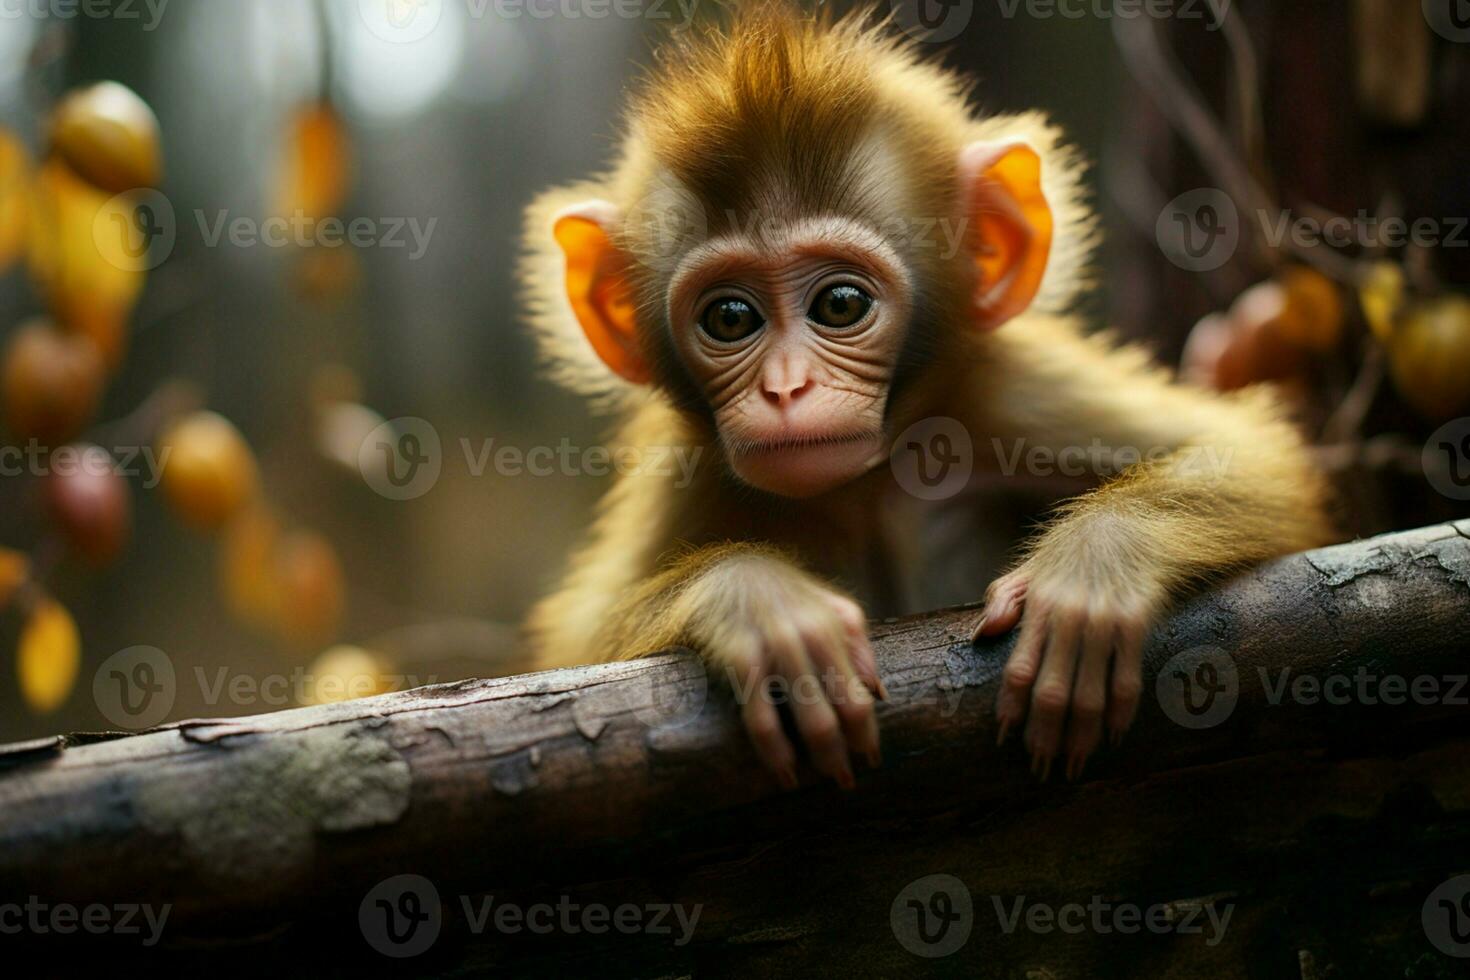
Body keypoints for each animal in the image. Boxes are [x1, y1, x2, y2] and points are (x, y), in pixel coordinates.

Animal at [517, 5, 1334, 787]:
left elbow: (1250, 457)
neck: (868, 485)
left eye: (841, 304)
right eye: (730, 319)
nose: (786, 388)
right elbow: (577, 646)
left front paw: (1093, 572)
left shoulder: (1003, 390)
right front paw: (757, 603)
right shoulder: (690, 470)